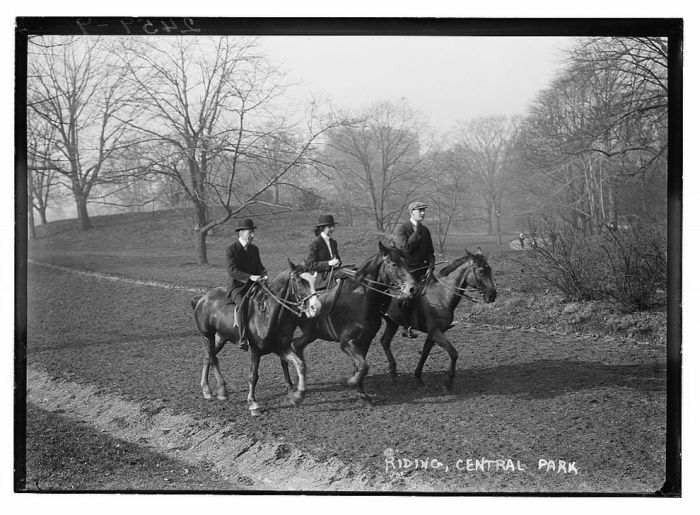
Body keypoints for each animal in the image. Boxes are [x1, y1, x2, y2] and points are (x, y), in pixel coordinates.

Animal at [191, 260, 322, 418]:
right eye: (299, 281)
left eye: (314, 280)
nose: (316, 307)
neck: (269, 314)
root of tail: (202, 299)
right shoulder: (255, 350)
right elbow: (253, 376)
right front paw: (253, 404)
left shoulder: (281, 348)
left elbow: (299, 364)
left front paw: (298, 395)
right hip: (207, 335)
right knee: (212, 358)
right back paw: (221, 391)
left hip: (220, 337)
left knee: (208, 357)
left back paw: (207, 390)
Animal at [284, 242, 418, 408]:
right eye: (393, 264)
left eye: (408, 263)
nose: (412, 288)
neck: (360, 297)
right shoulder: (347, 342)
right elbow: (363, 366)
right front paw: (347, 381)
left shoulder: (365, 340)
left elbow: (361, 366)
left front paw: (362, 394)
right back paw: (292, 385)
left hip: (311, 333)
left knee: (296, 346)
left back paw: (299, 382)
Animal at [378, 252, 498, 390]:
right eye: (481, 270)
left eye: (490, 269)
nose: (492, 295)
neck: (442, 296)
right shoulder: (436, 332)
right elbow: (453, 353)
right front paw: (449, 381)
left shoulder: (433, 334)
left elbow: (425, 353)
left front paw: (418, 377)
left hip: (392, 323)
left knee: (385, 342)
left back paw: (393, 373)